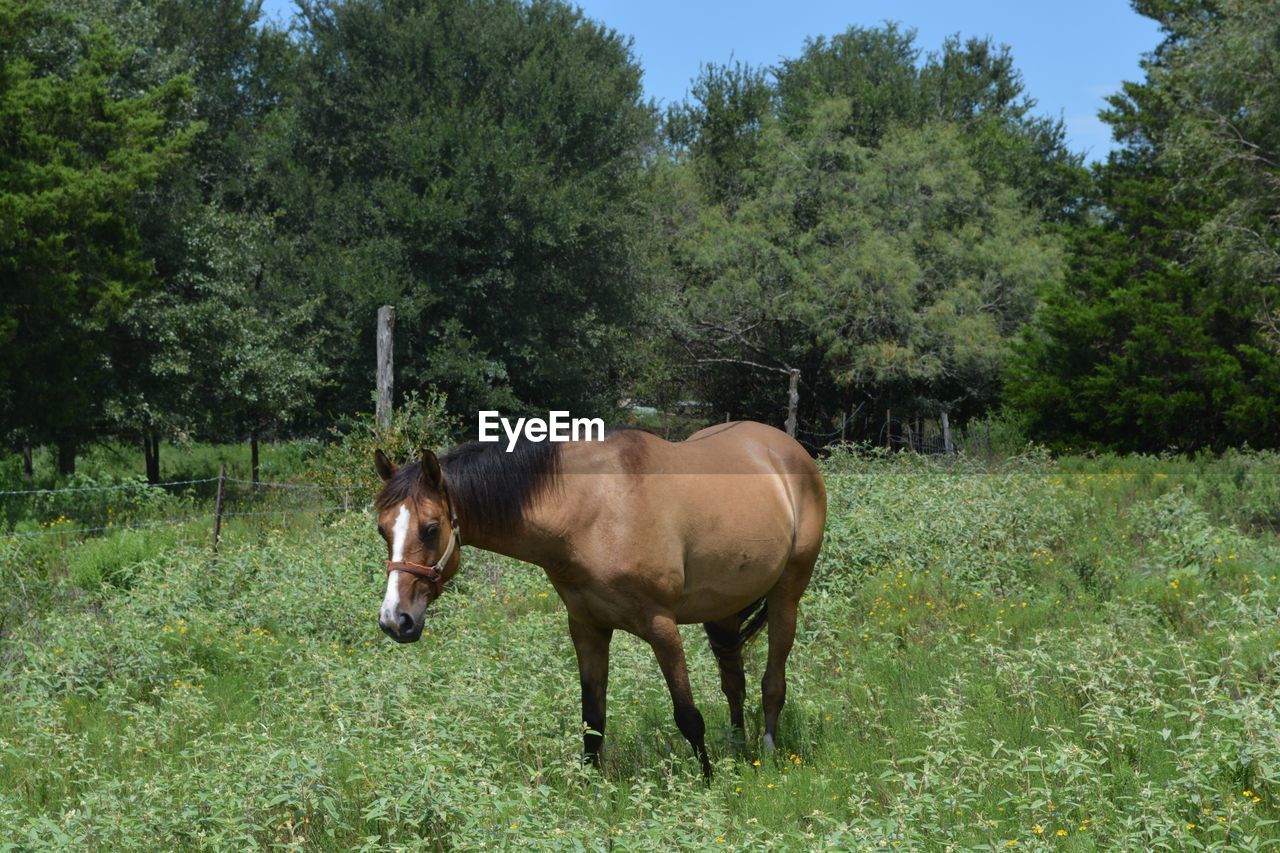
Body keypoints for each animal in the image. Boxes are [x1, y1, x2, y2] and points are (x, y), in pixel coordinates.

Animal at [373, 420, 824, 778]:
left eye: (431, 529)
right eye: (382, 530)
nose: (396, 620)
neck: (593, 510)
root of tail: (788, 451)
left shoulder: (661, 626)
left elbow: (688, 716)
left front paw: (709, 784)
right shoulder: (588, 629)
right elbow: (593, 719)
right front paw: (590, 790)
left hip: (787, 595)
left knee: (772, 683)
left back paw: (765, 752)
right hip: (724, 609)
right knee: (734, 682)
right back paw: (737, 748)